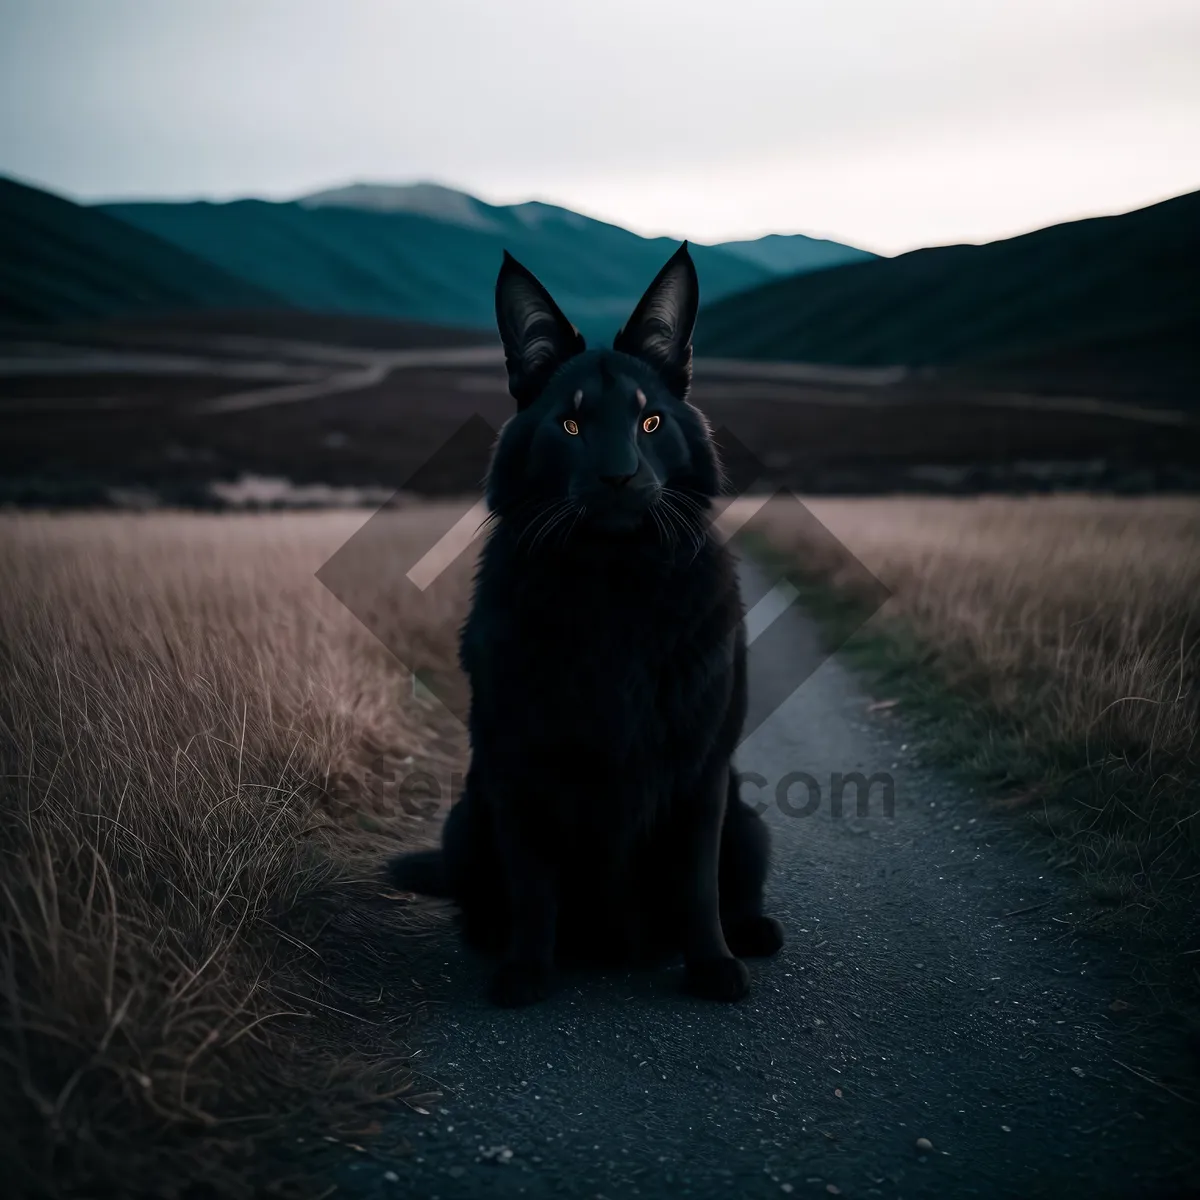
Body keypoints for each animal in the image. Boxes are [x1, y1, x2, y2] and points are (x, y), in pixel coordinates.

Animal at [393, 248, 782, 1008]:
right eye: (570, 427)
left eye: (650, 423)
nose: (618, 477)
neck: (613, 583)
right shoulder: (518, 764)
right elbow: (533, 884)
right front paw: (525, 970)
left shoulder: (702, 770)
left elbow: (697, 883)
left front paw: (711, 965)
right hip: (465, 820)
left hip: (748, 823)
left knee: (735, 887)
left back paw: (752, 931)